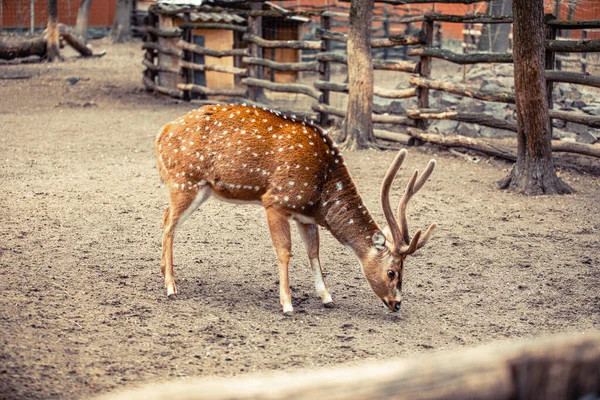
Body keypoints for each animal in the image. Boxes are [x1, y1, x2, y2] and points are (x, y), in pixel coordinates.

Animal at [156, 104, 436, 314]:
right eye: (392, 272)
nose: (397, 304)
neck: (322, 193)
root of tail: (161, 134)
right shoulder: (275, 201)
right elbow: (284, 251)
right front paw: (287, 304)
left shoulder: (306, 216)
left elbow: (314, 252)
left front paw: (327, 297)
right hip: (184, 181)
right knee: (168, 222)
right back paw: (170, 287)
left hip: (197, 188)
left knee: (166, 217)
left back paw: (163, 273)